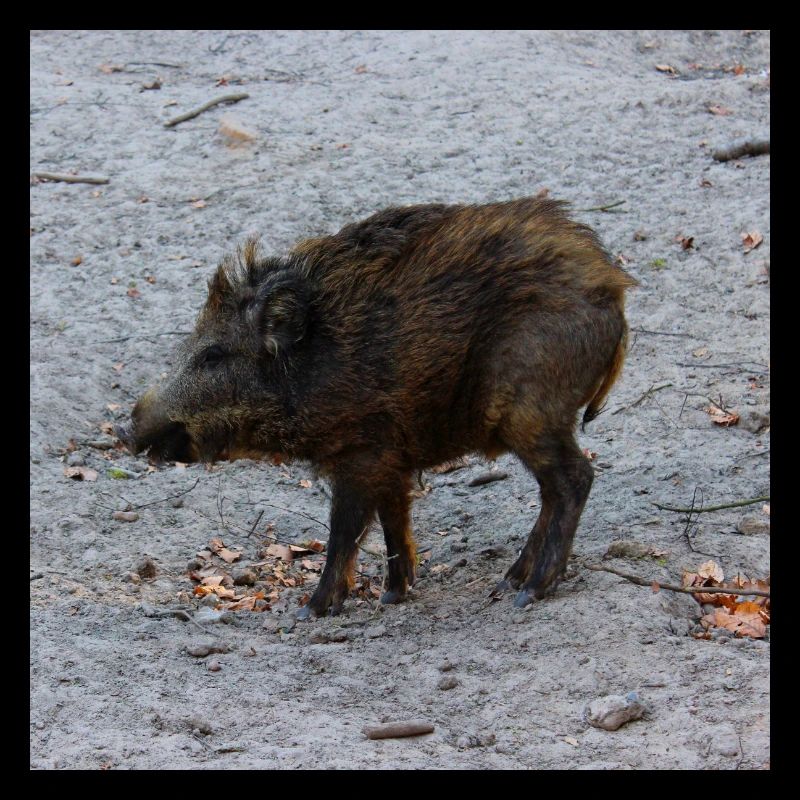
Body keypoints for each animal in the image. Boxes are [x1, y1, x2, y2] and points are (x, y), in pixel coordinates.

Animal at [117, 198, 636, 617]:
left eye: (213, 355)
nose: (126, 430)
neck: (310, 366)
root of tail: (614, 293)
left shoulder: (362, 453)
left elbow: (344, 530)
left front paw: (312, 610)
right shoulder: (392, 459)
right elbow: (394, 521)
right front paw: (393, 594)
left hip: (531, 412)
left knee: (574, 480)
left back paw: (531, 592)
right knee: (552, 490)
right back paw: (510, 580)